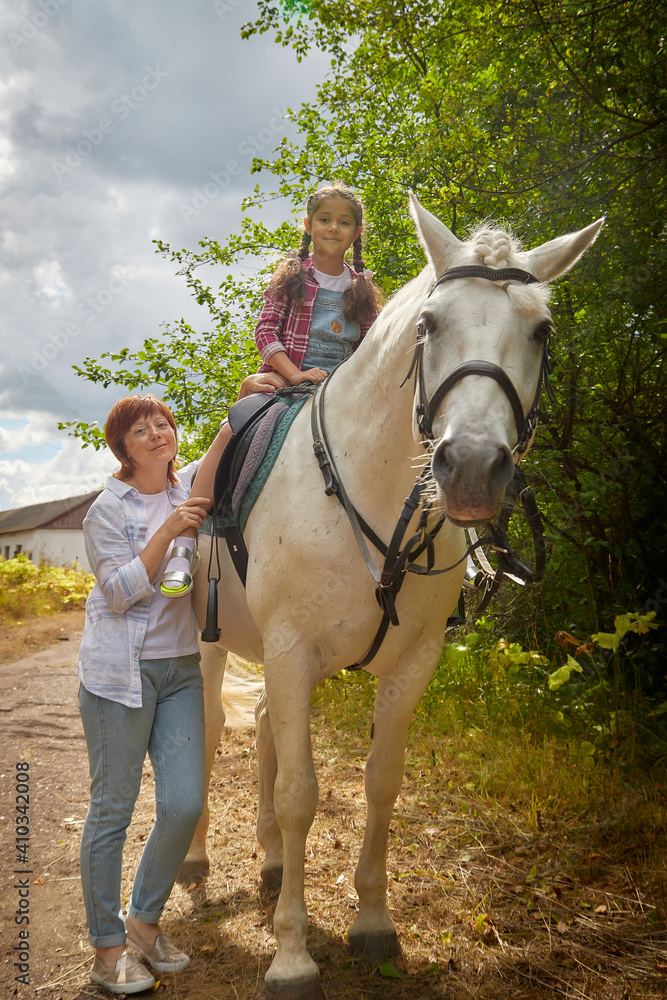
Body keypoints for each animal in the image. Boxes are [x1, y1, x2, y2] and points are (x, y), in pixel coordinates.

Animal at [187, 197, 600, 1000]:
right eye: (430, 324)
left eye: (540, 331)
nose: (470, 468)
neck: (368, 492)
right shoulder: (290, 650)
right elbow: (301, 792)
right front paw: (292, 955)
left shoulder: (413, 661)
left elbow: (380, 781)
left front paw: (373, 923)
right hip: (208, 641)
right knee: (211, 733)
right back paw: (192, 861)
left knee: (263, 733)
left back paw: (271, 860)